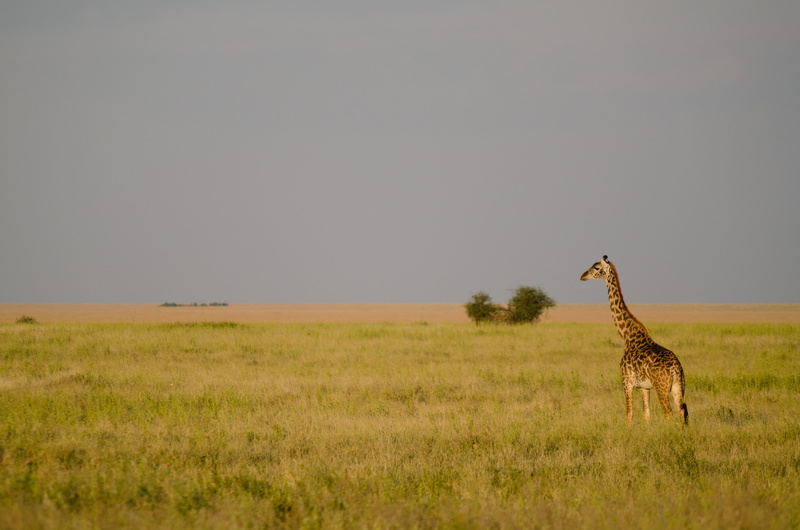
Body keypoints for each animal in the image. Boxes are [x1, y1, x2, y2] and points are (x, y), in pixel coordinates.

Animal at [581, 255, 688, 426]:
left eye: (596, 268)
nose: (583, 276)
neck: (627, 335)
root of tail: (675, 368)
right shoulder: (644, 387)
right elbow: (646, 414)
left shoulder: (626, 382)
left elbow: (629, 413)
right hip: (679, 386)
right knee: (681, 410)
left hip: (662, 387)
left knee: (668, 413)